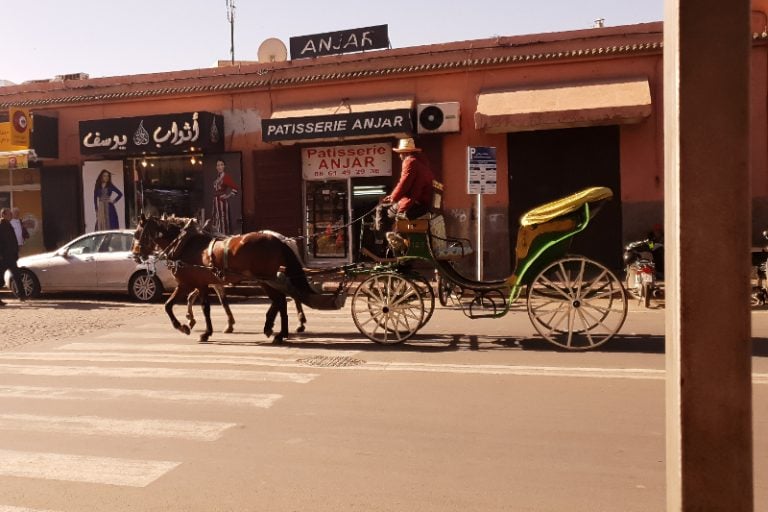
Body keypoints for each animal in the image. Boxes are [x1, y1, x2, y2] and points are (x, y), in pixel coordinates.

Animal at [132, 214, 308, 342]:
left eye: (137, 233)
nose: (135, 256)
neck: (184, 244)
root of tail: (279, 240)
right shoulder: (198, 284)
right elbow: (198, 306)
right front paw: (200, 327)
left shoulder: (189, 283)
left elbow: (175, 306)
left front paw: (187, 327)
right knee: (281, 300)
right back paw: (278, 329)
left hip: (265, 279)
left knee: (281, 300)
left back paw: (279, 330)